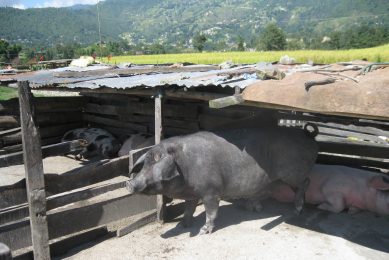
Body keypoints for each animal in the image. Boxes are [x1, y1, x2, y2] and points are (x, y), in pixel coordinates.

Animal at [126, 127, 316, 235]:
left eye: (156, 161)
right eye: (145, 163)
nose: (129, 183)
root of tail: (308, 136)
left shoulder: (211, 191)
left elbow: (211, 211)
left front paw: (204, 231)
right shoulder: (192, 193)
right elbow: (189, 208)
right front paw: (182, 225)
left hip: (293, 173)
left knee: (305, 182)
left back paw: (297, 210)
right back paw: (254, 208)